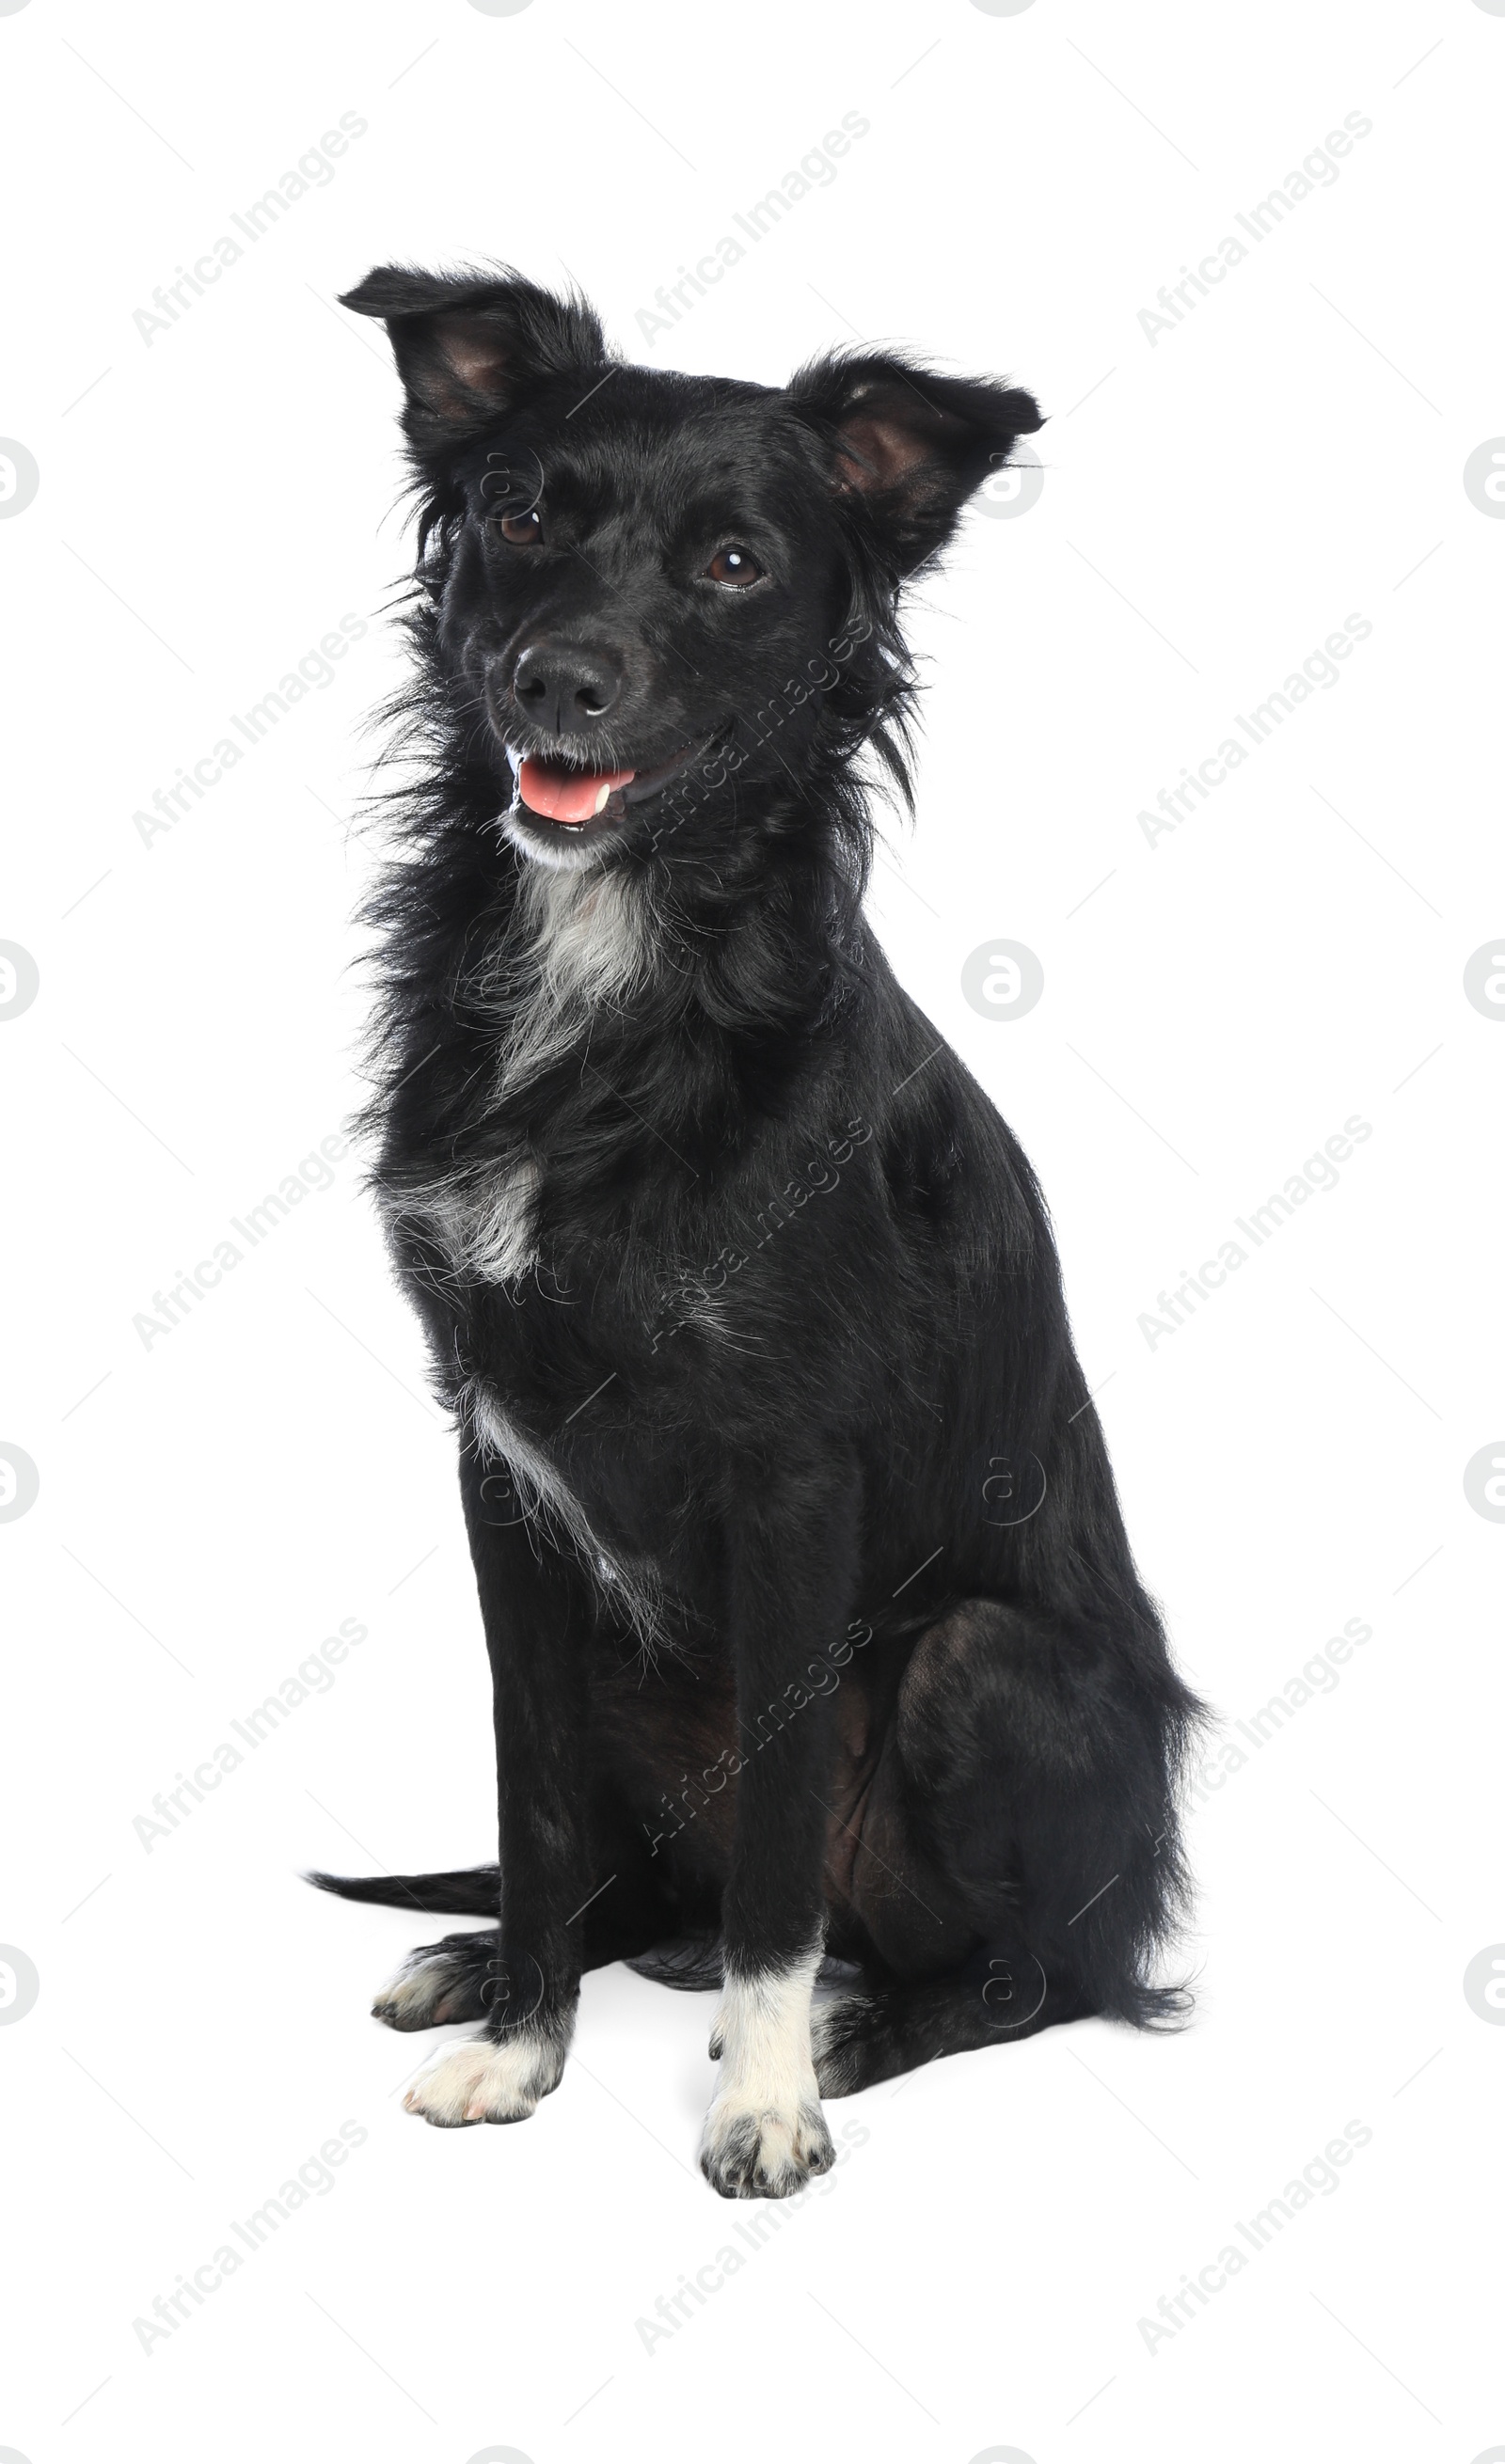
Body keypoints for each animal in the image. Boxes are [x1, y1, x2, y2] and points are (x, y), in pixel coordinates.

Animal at [311, 264, 1207, 2198]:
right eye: (519, 517)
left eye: (733, 563)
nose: (551, 677)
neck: (616, 967)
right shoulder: (500, 1467)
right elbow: (533, 1802)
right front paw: (526, 2045)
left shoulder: (793, 1479)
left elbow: (788, 1846)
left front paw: (767, 2097)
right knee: (643, 1879)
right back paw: (508, 1953)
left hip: (986, 1670)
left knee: (1029, 1976)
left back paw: (866, 2026)